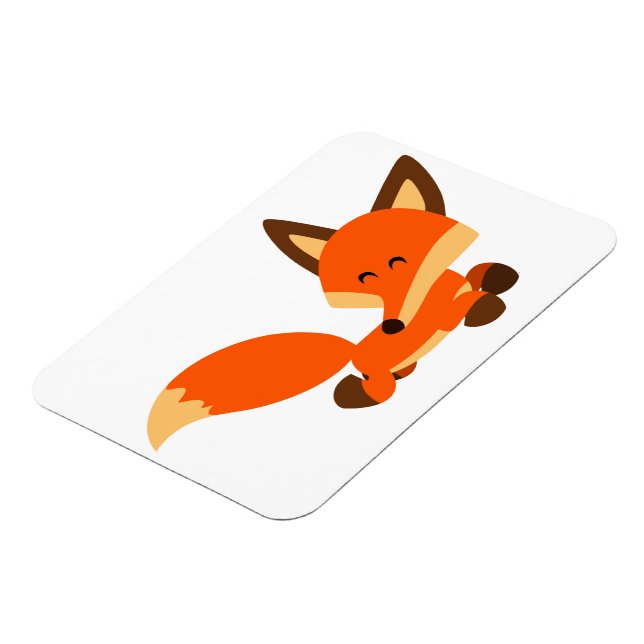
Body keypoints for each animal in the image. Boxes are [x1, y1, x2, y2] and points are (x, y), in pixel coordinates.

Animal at [147, 155, 518, 450]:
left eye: (399, 261)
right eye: (365, 279)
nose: (393, 326)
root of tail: (352, 350)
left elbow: (477, 276)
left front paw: (497, 277)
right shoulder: (441, 313)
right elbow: (466, 302)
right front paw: (483, 305)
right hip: (375, 374)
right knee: (377, 388)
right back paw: (354, 393)